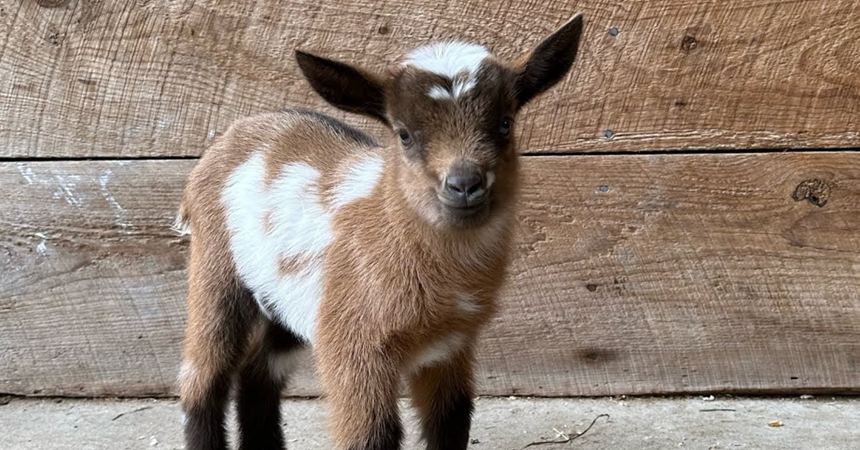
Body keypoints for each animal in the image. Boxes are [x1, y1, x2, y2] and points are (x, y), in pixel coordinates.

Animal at [175, 13, 584, 450]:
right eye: (403, 134)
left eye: (506, 124)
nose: (465, 184)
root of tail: (227, 140)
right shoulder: (355, 346)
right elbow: (372, 435)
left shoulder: (450, 345)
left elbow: (452, 420)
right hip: (216, 269)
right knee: (203, 376)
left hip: (288, 302)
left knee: (257, 375)